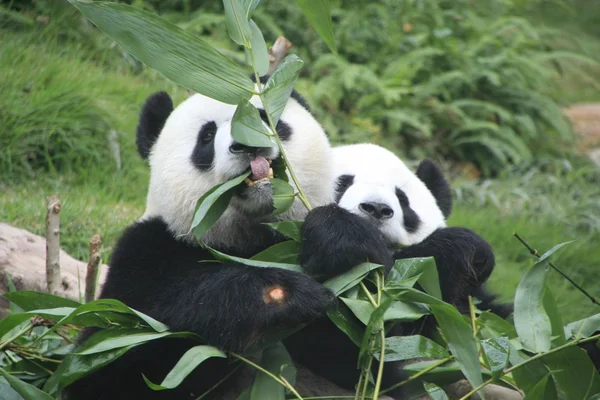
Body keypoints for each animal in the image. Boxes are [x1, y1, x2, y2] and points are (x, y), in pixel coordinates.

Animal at [64, 91, 390, 400]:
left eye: (264, 117)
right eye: (207, 136)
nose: (248, 145)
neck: (249, 240)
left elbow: (373, 347)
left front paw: (337, 241)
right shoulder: (145, 254)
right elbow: (112, 361)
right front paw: (282, 294)